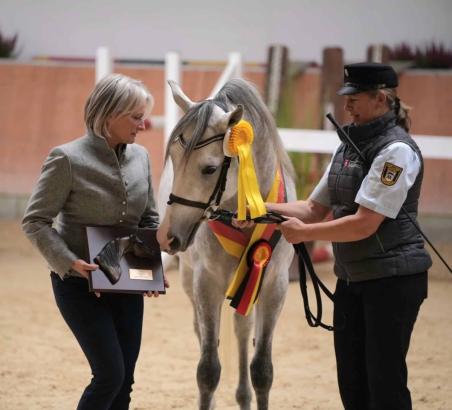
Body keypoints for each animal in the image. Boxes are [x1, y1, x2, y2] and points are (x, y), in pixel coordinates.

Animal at [158, 78, 296, 408]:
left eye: (209, 169)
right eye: (174, 159)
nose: (169, 234)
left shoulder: (274, 285)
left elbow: (262, 369)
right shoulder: (206, 282)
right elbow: (208, 369)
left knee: (242, 330)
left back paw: (243, 397)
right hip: (190, 278)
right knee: (205, 333)